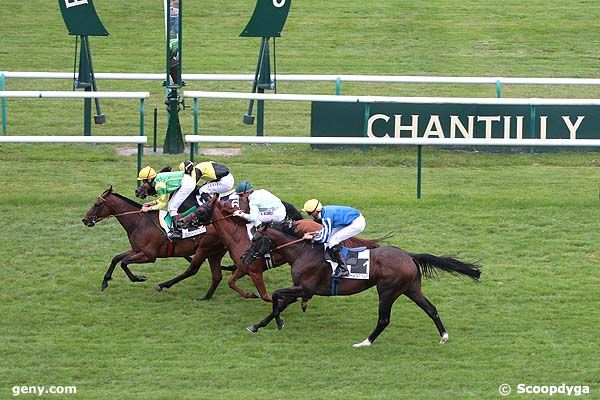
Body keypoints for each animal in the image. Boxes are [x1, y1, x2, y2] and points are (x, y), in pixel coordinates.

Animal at [241, 222, 480, 346]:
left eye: (256, 239)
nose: (244, 257)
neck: (302, 252)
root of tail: (409, 256)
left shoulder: (305, 288)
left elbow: (275, 295)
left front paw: (279, 323)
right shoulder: (301, 289)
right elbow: (280, 303)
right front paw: (258, 325)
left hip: (388, 290)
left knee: (384, 319)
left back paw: (365, 342)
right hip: (411, 289)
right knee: (431, 308)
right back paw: (444, 336)